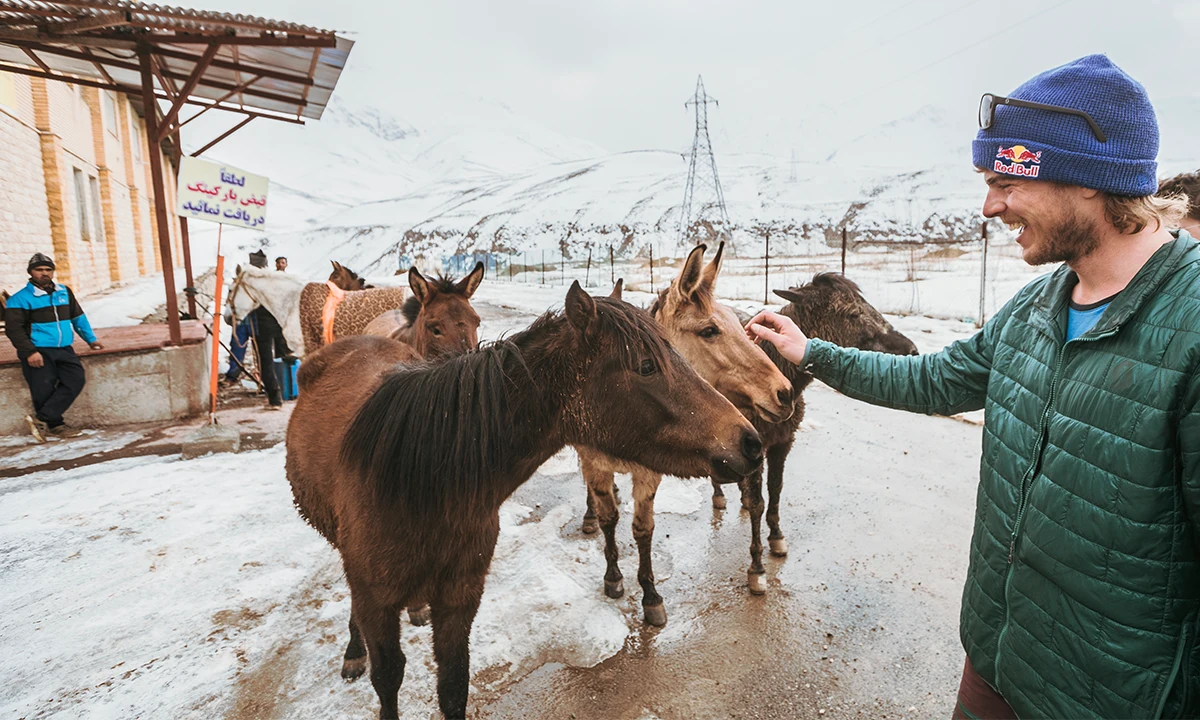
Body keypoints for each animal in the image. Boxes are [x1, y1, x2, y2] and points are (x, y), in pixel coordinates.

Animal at [283, 280, 758, 720]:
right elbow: (387, 681)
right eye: (645, 366)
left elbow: (453, 685)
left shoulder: (460, 596)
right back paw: (353, 651)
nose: (749, 442)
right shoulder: (376, 602)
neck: (418, 484)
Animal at [576, 242, 792, 624]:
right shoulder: (594, 464)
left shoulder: (648, 473)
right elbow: (609, 519)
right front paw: (613, 577)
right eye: (709, 330)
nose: (784, 392)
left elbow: (642, 529)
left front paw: (650, 595)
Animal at [710, 272, 916, 592]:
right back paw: (719, 496)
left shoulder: (783, 443)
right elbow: (759, 503)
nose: (910, 349)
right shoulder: (757, 444)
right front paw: (756, 568)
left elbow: (775, 490)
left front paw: (777, 537)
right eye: (852, 313)